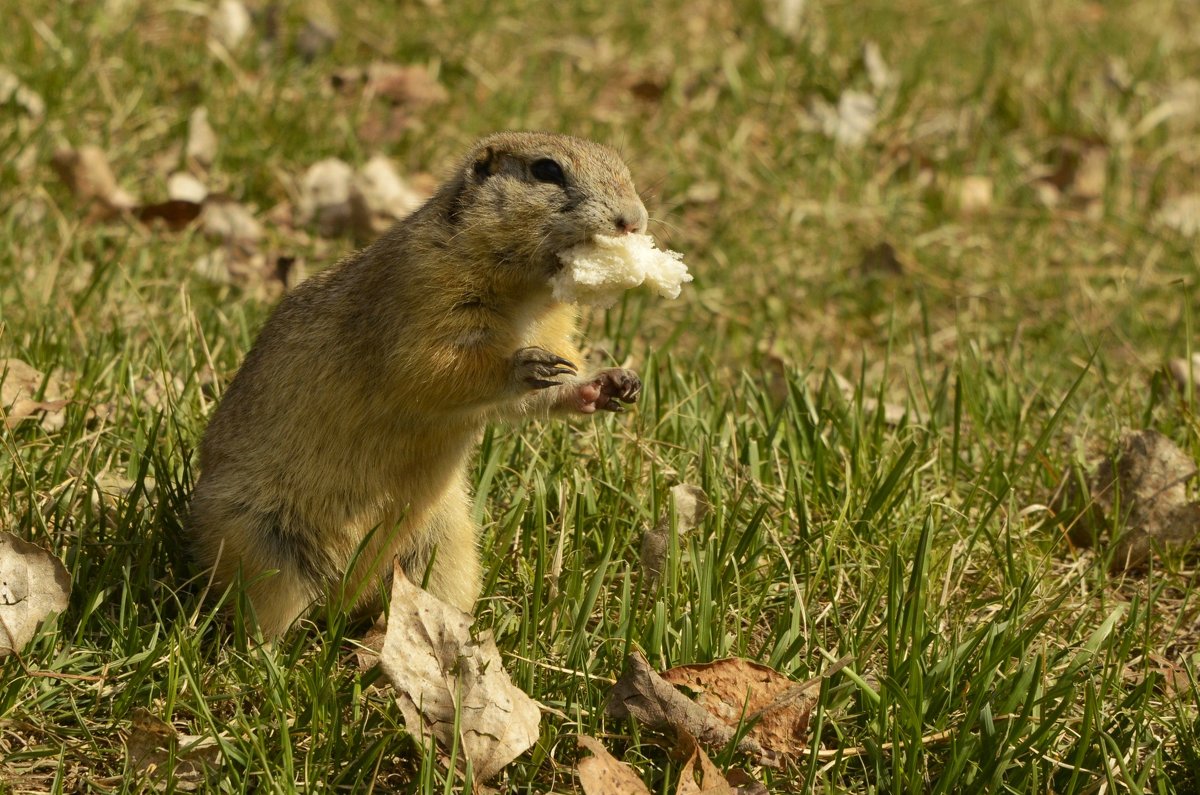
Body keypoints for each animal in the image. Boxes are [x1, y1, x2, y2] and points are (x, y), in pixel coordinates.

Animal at [186, 133, 648, 638]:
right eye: (547, 170)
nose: (632, 220)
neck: (528, 298)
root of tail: (343, 601)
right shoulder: (423, 288)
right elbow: (431, 366)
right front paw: (524, 365)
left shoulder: (554, 327)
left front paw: (611, 383)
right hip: (259, 545)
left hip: (448, 548)